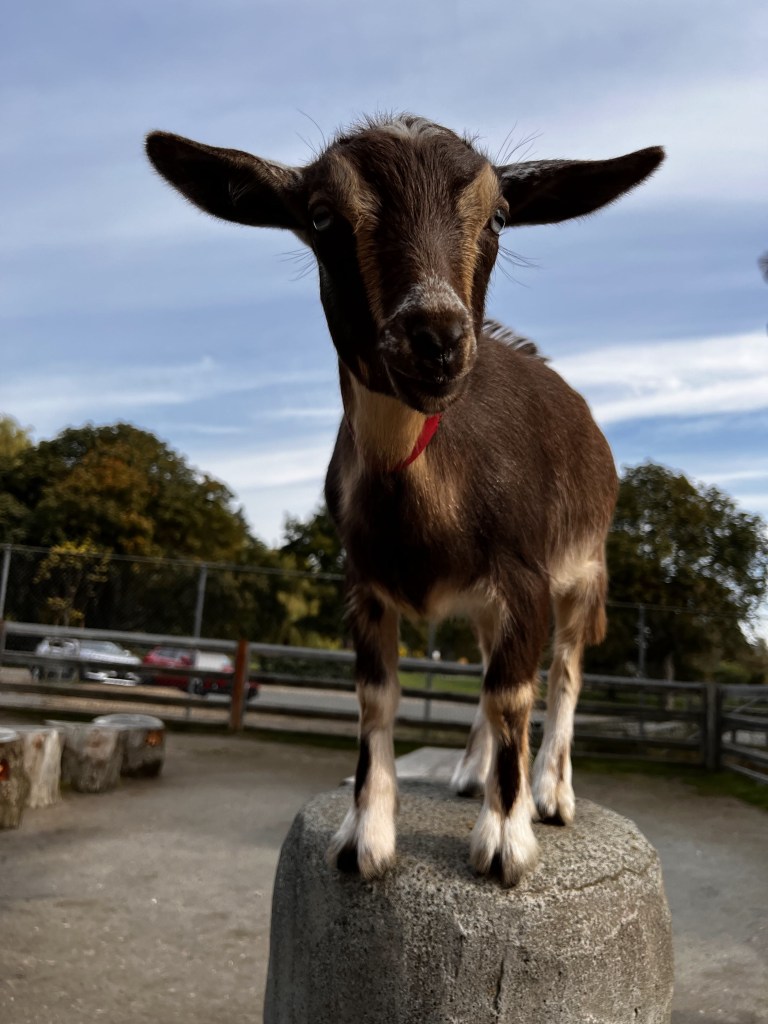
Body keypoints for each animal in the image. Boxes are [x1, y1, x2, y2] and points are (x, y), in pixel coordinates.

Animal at [146, 114, 663, 885]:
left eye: (500, 216)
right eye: (322, 216)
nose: (437, 339)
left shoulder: (525, 574)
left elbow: (515, 692)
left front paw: (505, 844)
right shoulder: (365, 581)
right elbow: (377, 698)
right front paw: (365, 839)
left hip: (586, 568)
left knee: (566, 671)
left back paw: (550, 792)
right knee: (488, 663)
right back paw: (471, 771)